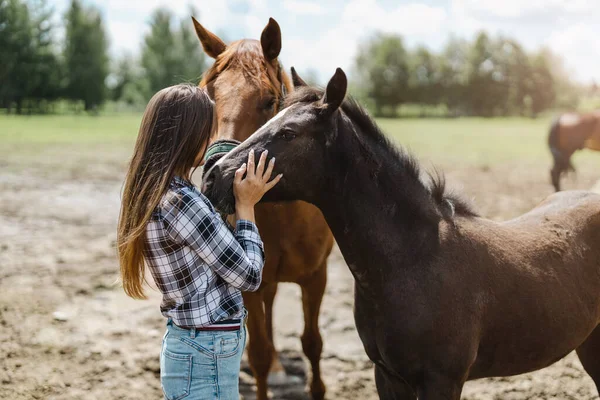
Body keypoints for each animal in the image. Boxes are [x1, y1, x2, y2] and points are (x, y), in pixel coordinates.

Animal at [191, 17, 332, 398]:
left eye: (269, 102)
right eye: (209, 96)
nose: (214, 178)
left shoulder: (316, 277)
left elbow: (313, 343)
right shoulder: (247, 283)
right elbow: (257, 353)